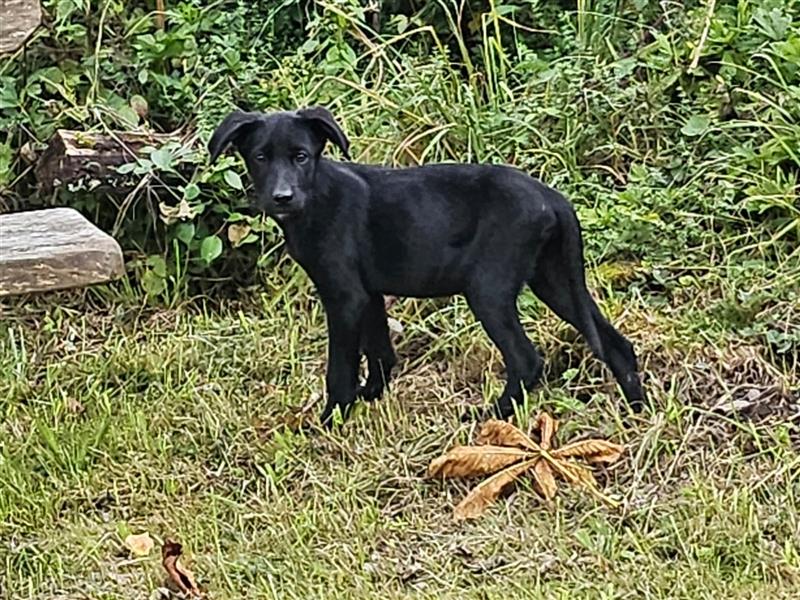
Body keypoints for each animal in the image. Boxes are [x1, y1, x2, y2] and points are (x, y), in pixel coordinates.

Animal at [209, 109, 648, 426]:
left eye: (301, 156)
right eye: (260, 157)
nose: (282, 197)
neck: (317, 196)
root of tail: (552, 198)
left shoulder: (344, 296)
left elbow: (340, 369)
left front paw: (331, 420)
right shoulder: (369, 293)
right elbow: (381, 354)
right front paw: (371, 398)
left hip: (488, 288)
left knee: (526, 360)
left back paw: (488, 416)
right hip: (555, 279)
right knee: (617, 345)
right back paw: (637, 414)